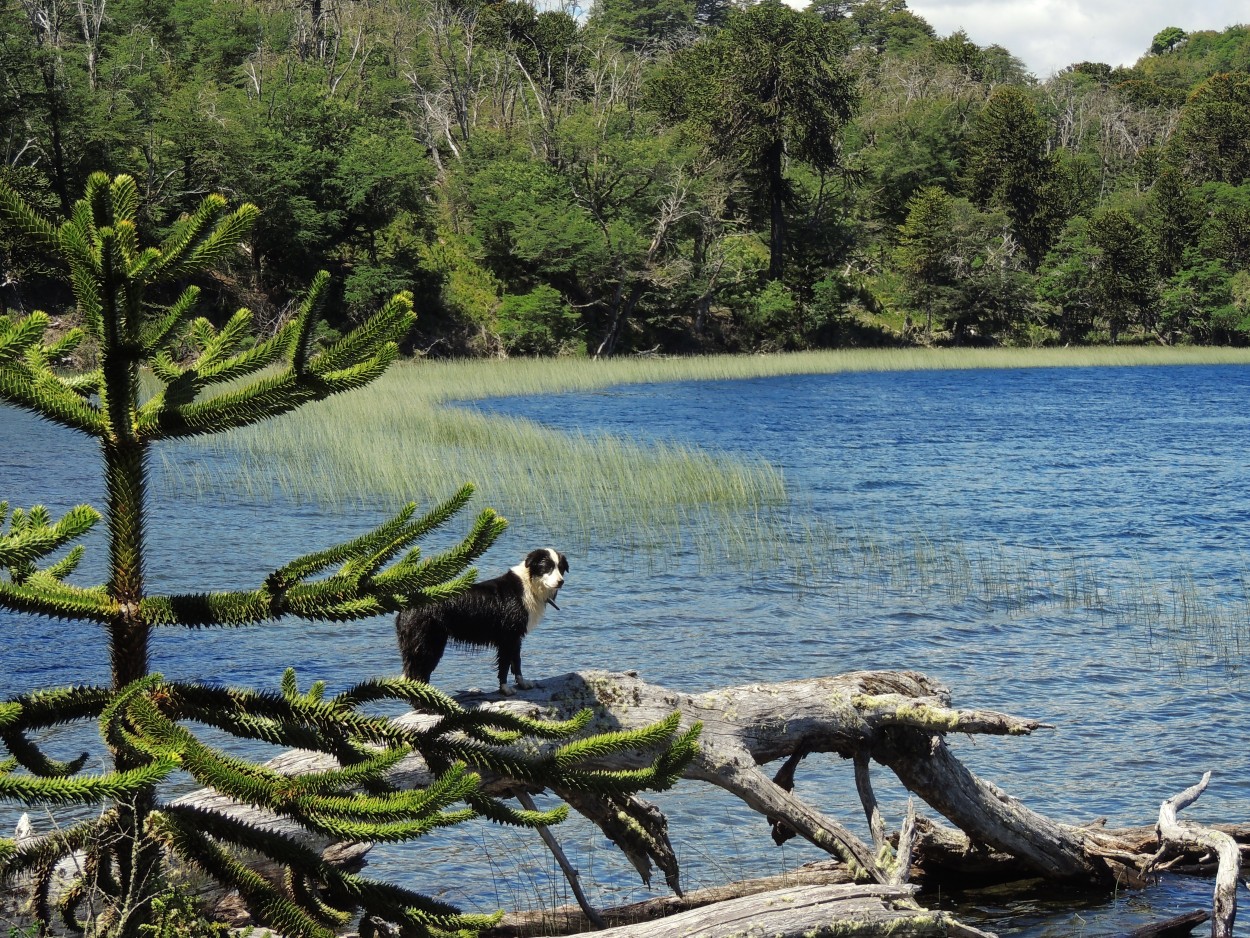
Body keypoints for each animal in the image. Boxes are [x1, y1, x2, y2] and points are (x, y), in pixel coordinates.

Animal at [395, 547, 567, 695]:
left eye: (560, 568)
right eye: (547, 567)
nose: (561, 582)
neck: (528, 585)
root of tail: (405, 605)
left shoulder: (516, 636)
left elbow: (516, 661)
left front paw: (522, 683)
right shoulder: (508, 636)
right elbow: (505, 664)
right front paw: (505, 689)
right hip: (428, 644)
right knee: (417, 675)